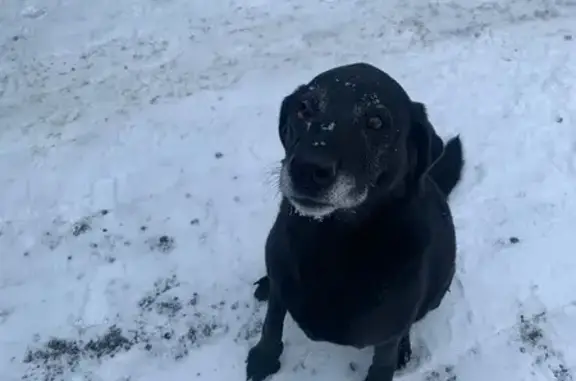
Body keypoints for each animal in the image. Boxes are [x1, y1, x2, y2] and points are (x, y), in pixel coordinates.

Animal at [246, 62, 464, 380]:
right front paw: (264, 357)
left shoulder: (388, 332)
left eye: (375, 122)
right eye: (304, 108)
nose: (307, 168)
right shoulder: (281, 279)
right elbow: (272, 322)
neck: (331, 241)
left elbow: (384, 360)